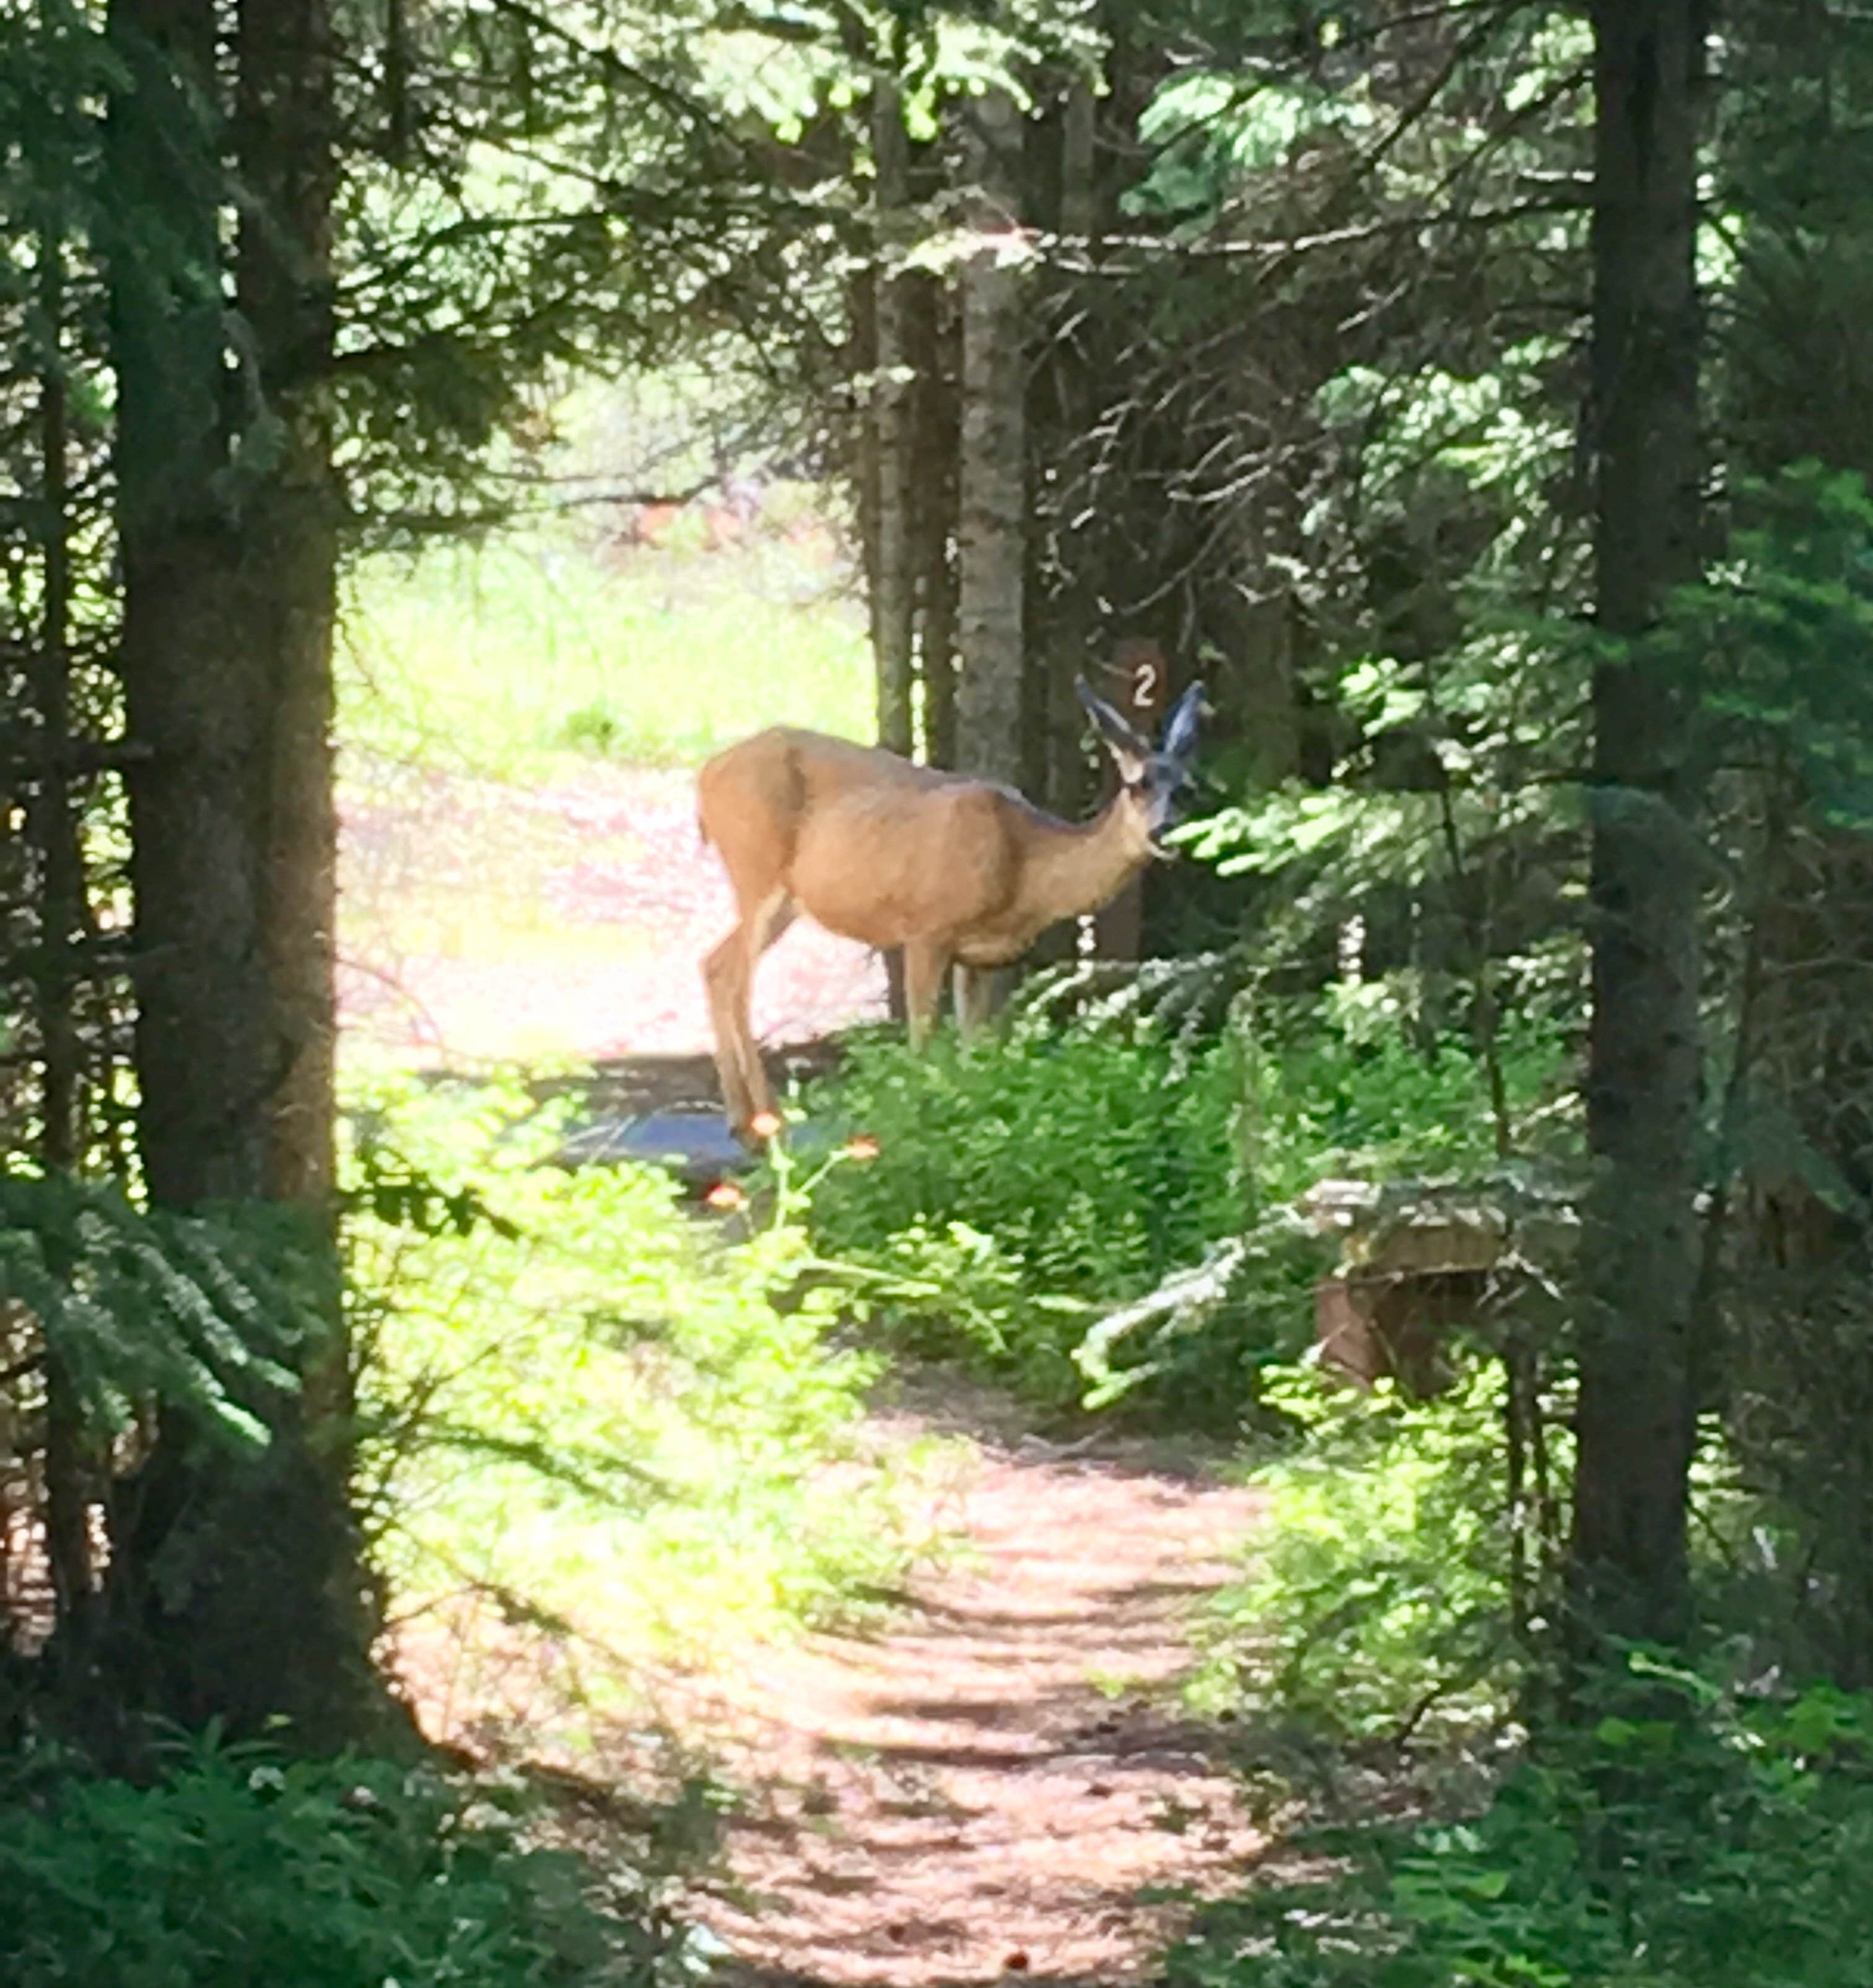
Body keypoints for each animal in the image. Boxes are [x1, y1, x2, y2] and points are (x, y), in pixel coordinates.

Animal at [696, 676, 1208, 1144]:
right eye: (1137, 784)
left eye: (1187, 789)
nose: (1164, 832)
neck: (1024, 866)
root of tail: (705, 776)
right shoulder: (927, 929)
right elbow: (923, 1039)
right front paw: (920, 1125)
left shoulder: (976, 956)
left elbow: (973, 1047)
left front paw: (971, 1123)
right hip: (756, 870)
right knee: (736, 975)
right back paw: (770, 1117)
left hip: (785, 898)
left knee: (714, 963)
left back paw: (738, 1116)